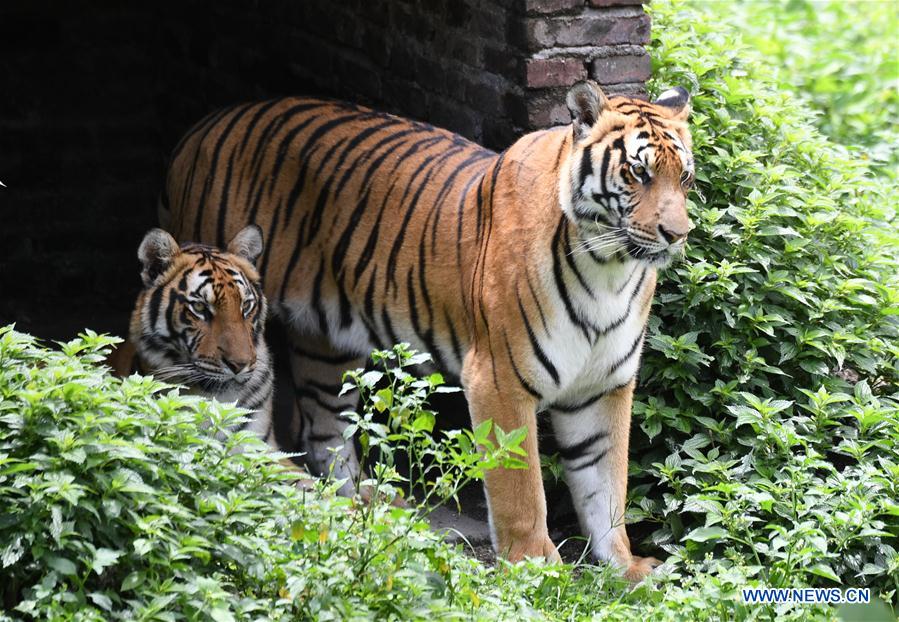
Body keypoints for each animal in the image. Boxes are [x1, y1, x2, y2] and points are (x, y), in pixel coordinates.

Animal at [159, 80, 694, 581]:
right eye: (638, 173)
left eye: (683, 177)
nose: (678, 235)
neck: (610, 269)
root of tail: (206, 124)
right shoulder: (499, 380)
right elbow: (521, 488)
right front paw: (535, 567)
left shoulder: (604, 386)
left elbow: (606, 485)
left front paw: (626, 567)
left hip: (328, 345)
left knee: (324, 429)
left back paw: (364, 507)